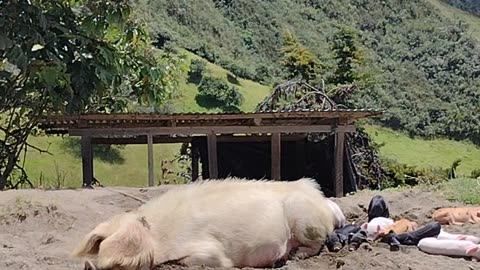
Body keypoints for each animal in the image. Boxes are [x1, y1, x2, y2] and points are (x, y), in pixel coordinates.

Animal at [72, 177, 334, 270]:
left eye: (117, 265)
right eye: (98, 249)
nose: (88, 266)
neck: (157, 236)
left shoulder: (210, 250)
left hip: (306, 220)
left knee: (318, 242)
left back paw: (292, 258)